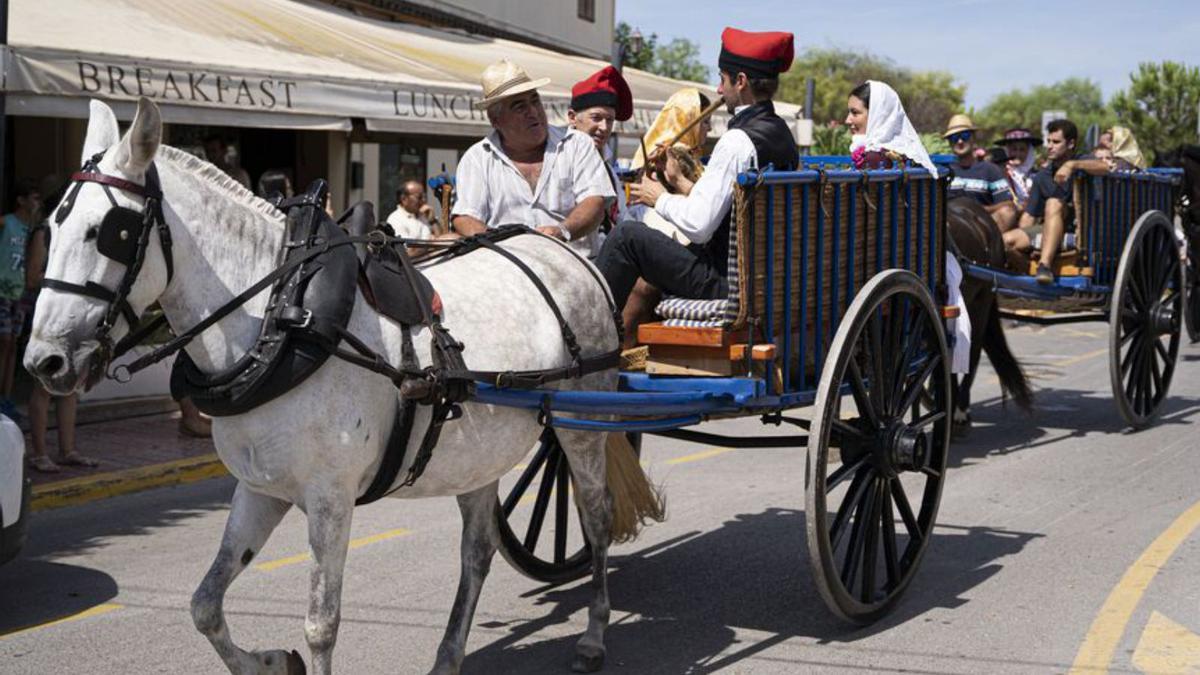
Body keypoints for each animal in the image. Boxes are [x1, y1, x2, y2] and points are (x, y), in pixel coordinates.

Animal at [23, 96, 643, 672]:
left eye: (109, 232)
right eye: (51, 227)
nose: (43, 361)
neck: (281, 317)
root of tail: (564, 251)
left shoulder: (330, 497)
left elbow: (321, 624)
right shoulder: (260, 487)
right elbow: (204, 605)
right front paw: (269, 661)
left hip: (581, 424)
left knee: (596, 516)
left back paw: (593, 634)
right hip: (480, 450)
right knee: (478, 550)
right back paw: (449, 655)